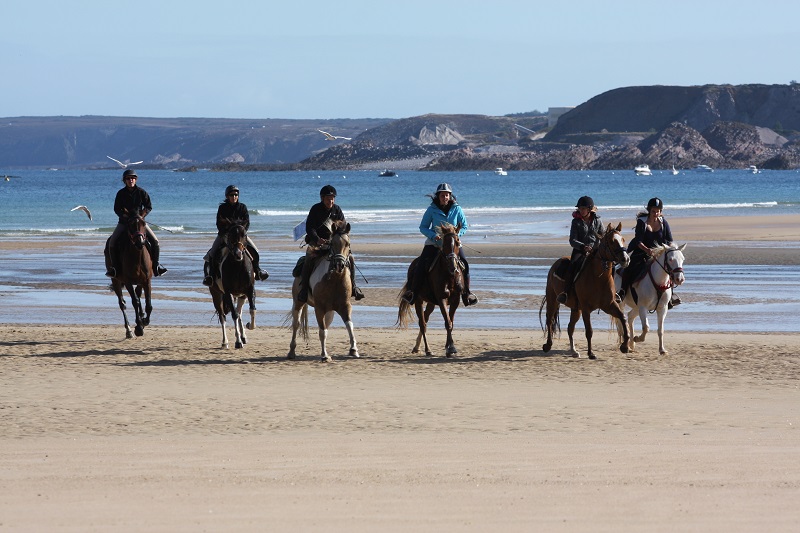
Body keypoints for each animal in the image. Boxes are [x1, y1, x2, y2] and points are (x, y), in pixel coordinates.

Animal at [209, 220, 256, 350]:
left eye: (244, 234)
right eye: (230, 235)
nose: (238, 254)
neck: (237, 267)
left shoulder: (249, 290)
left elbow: (252, 310)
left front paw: (249, 326)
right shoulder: (228, 292)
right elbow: (234, 315)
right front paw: (238, 342)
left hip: (240, 295)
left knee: (239, 312)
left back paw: (243, 335)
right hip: (216, 295)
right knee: (222, 316)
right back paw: (225, 342)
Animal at [288, 219, 360, 362]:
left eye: (347, 244)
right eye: (332, 243)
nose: (339, 265)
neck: (334, 280)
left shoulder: (345, 306)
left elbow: (349, 325)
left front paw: (353, 350)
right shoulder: (319, 308)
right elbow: (322, 332)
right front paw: (324, 355)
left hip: (330, 312)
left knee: (326, 324)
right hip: (298, 303)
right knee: (296, 324)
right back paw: (291, 352)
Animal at [398, 222, 466, 356]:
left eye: (457, 242)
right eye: (444, 244)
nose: (453, 266)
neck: (449, 276)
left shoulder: (455, 300)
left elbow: (451, 322)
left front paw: (449, 347)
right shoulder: (442, 299)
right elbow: (448, 322)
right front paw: (451, 348)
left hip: (431, 302)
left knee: (425, 318)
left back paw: (417, 347)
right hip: (418, 300)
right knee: (422, 323)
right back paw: (427, 349)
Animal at [544, 220, 632, 358]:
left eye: (623, 239)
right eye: (612, 241)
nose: (626, 259)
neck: (598, 278)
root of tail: (556, 264)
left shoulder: (609, 305)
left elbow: (622, 318)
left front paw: (624, 346)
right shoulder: (586, 308)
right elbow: (589, 331)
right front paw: (591, 353)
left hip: (576, 309)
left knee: (570, 327)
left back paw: (574, 351)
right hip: (553, 299)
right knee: (549, 320)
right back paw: (548, 345)